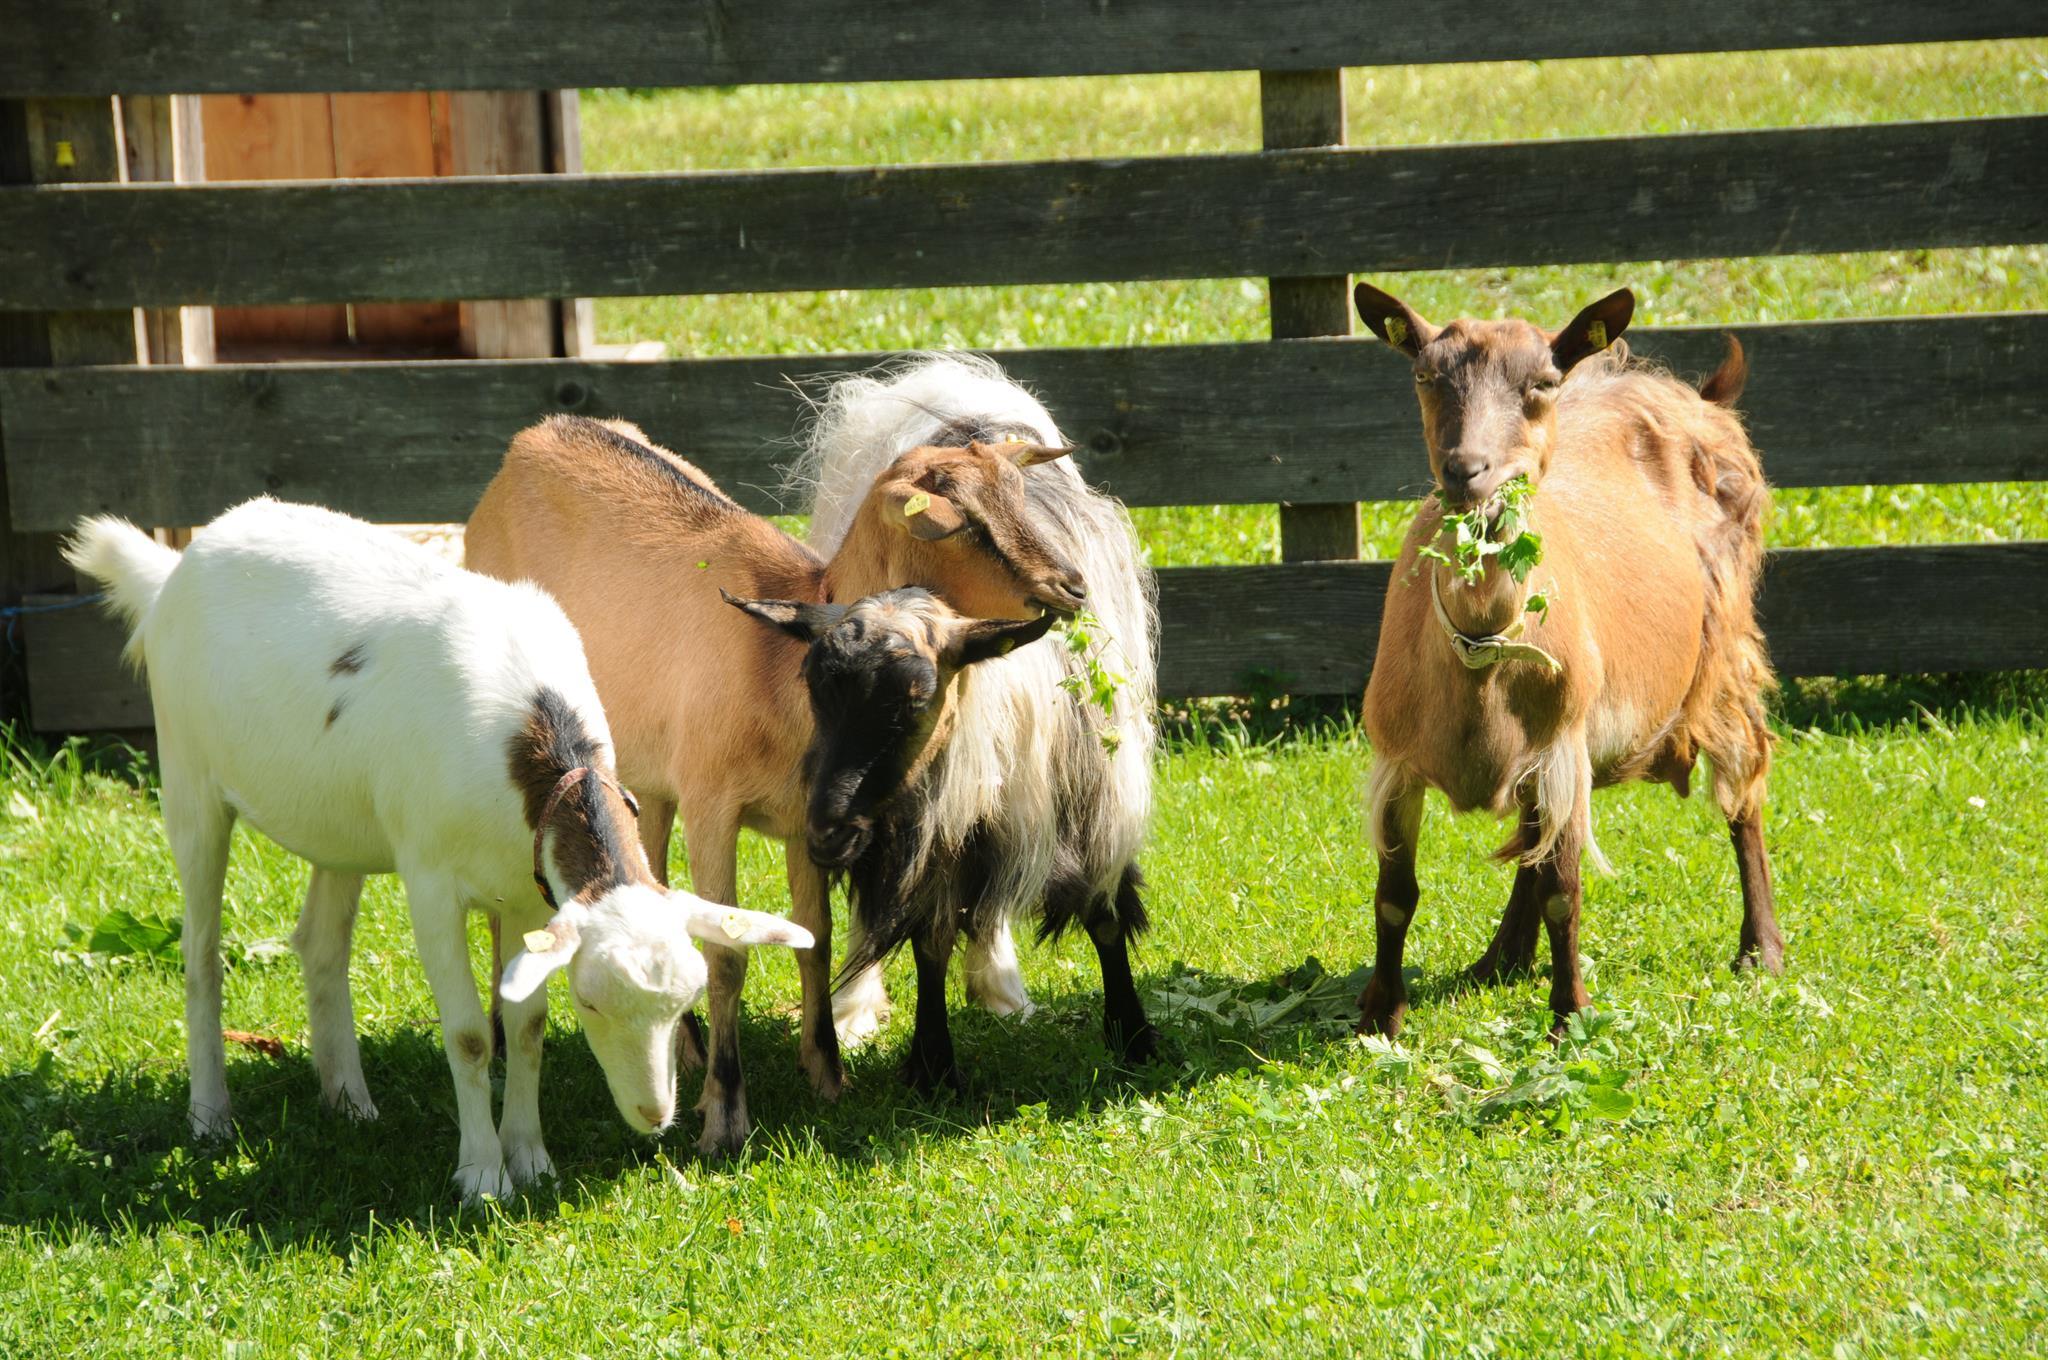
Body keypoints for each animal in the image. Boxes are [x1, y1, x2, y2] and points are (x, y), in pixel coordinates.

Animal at [64, 499, 812, 1200]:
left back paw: (349, 1100)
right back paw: (211, 1116)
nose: (654, 1115)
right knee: (200, 955)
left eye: (684, 1002)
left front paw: (531, 1159)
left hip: (339, 819)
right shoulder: (429, 881)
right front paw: (482, 1177)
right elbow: (472, 1035)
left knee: (321, 942)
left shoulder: (529, 889)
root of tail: (178, 564)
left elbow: (528, 1023)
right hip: (187, 773)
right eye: (594, 1003)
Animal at [463, 415, 1081, 1152]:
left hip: (649, 777)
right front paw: (726, 1118)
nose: (1072, 586)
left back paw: (687, 1048)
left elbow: (814, 936)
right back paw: (511, 1040)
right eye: (966, 523)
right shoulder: (713, 806)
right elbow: (728, 953)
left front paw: (826, 1072)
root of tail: (536, 434)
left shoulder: (804, 822)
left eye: (1016, 492)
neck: (773, 671)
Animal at [791, 354, 1160, 1091]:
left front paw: (1134, 1037)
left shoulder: (1091, 790)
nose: (1073, 586)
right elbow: (928, 936)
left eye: (1016, 500)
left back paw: (1002, 987)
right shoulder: (908, 810)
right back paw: (862, 1005)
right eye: (963, 523)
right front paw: (932, 1064)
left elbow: (1105, 913)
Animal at [1349, 283, 1784, 1037]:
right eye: (1425, 376)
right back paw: (1500, 957)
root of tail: (1695, 396)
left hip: (1725, 657)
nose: (1467, 471)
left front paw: (1568, 1016)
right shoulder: (1400, 760)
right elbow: (1395, 894)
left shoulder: (1561, 748)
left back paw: (1761, 950)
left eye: (1543, 383)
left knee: (1745, 788)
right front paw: (1382, 1014)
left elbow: (1565, 891)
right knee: (1532, 839)